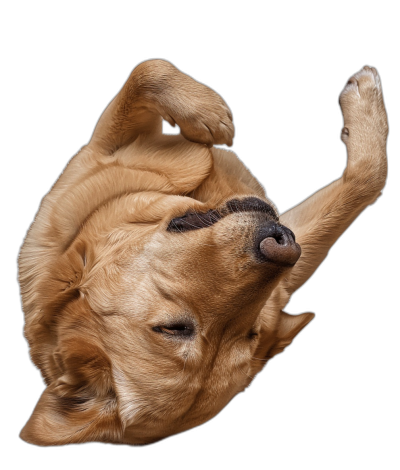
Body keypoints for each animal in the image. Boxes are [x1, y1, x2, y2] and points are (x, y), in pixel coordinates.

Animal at [17, 60, 390, 446]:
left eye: (252, 333)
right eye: (174, 328)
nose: (277, 246)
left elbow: (367, 178)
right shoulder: (106, 145)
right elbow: (145, 71)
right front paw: (205, 112)